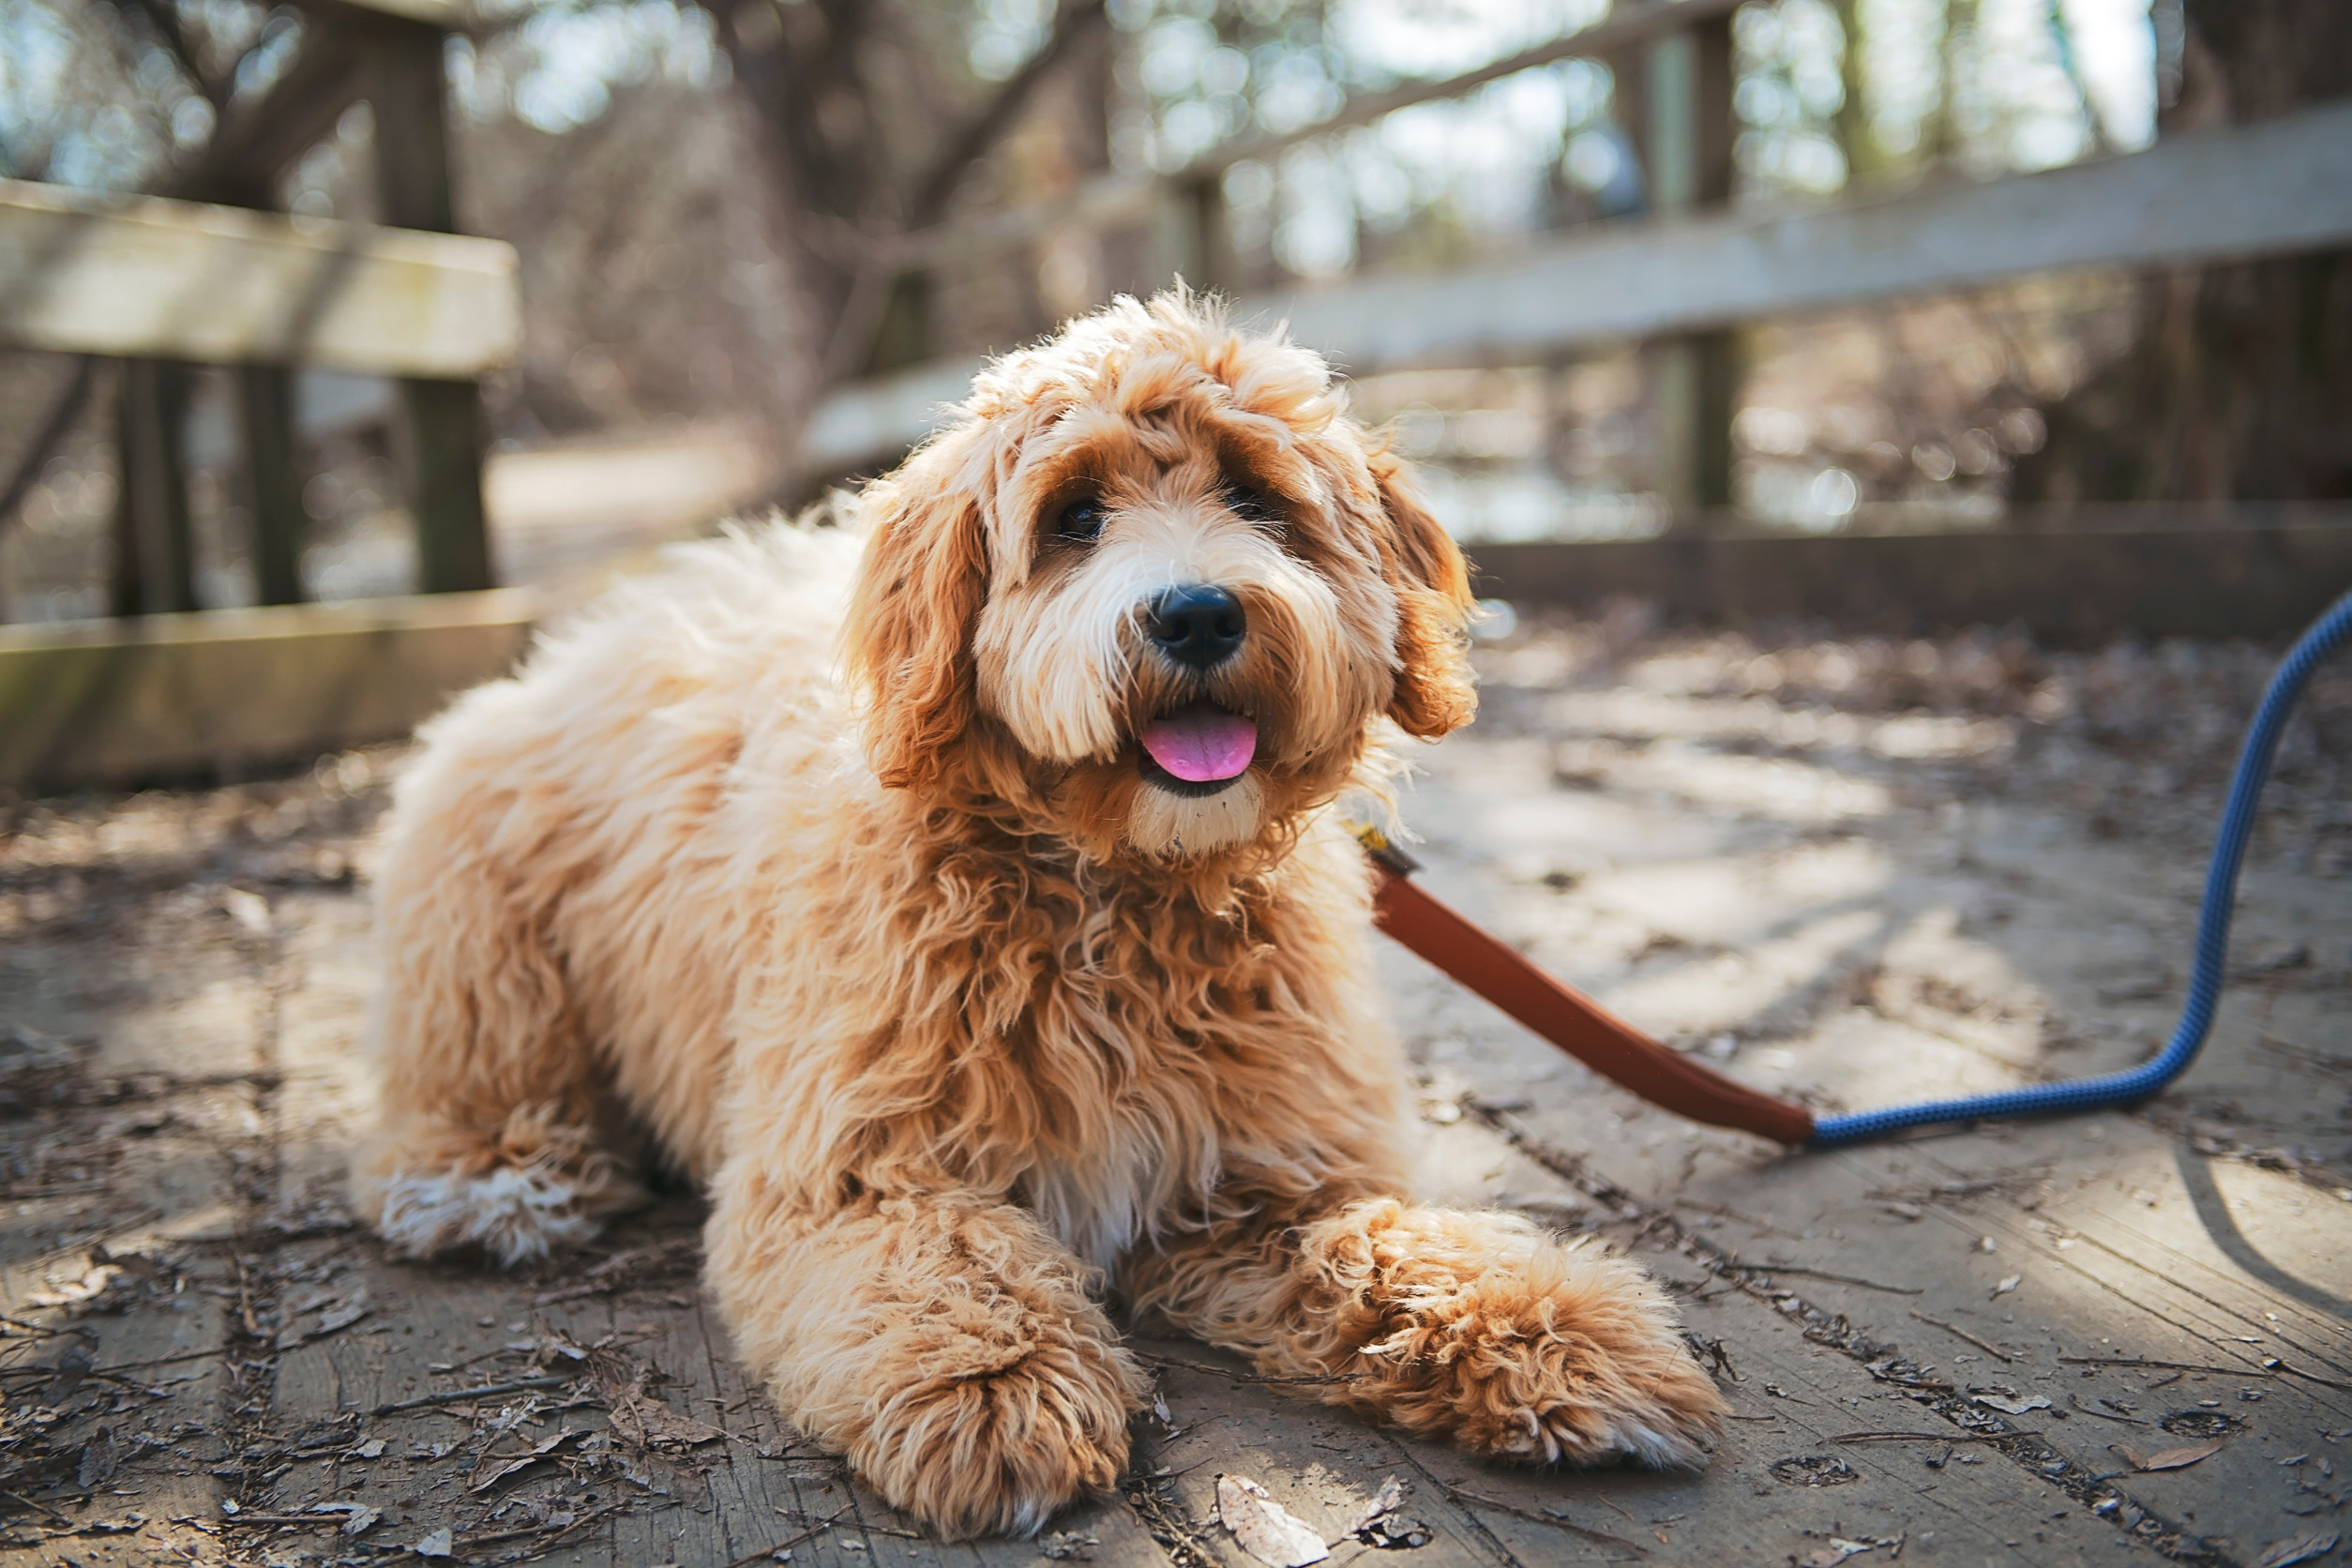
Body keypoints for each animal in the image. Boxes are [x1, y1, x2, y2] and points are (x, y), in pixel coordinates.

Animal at [362, 291, 1730, 1532]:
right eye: (1075, 516)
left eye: (1257, 500)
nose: (1197, 612)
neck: (1112, 894)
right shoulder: (849, 1173)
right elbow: (942, 1263)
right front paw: (997, 1385)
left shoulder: (1258, 1178)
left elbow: (1393, 1246)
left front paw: (1560, 1333)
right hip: (479, 931)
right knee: (474, 1066)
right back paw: (488, 1182)